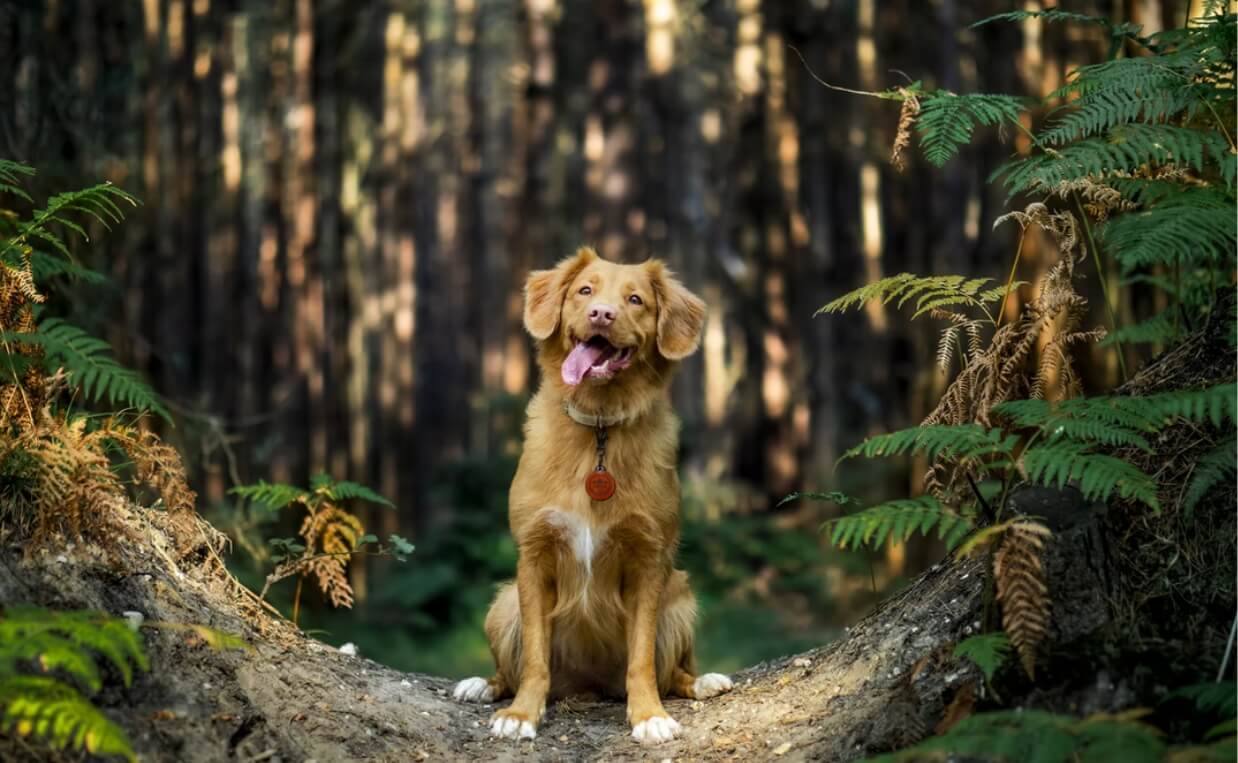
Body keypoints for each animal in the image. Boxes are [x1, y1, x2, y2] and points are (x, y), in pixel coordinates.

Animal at [450, 247, 727, 743]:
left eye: (636, 299)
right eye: (584, 291)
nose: (601, 313)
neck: (600, 425)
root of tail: (589, 686)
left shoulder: (649, 560)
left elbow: (642, 659)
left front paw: (649, 714)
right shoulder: (534, 556)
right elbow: (534, 659)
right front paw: (522, 714)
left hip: (681, 598)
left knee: (675, 672)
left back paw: (702, 681)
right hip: (503, 604)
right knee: (509, 670)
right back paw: (483, 685)